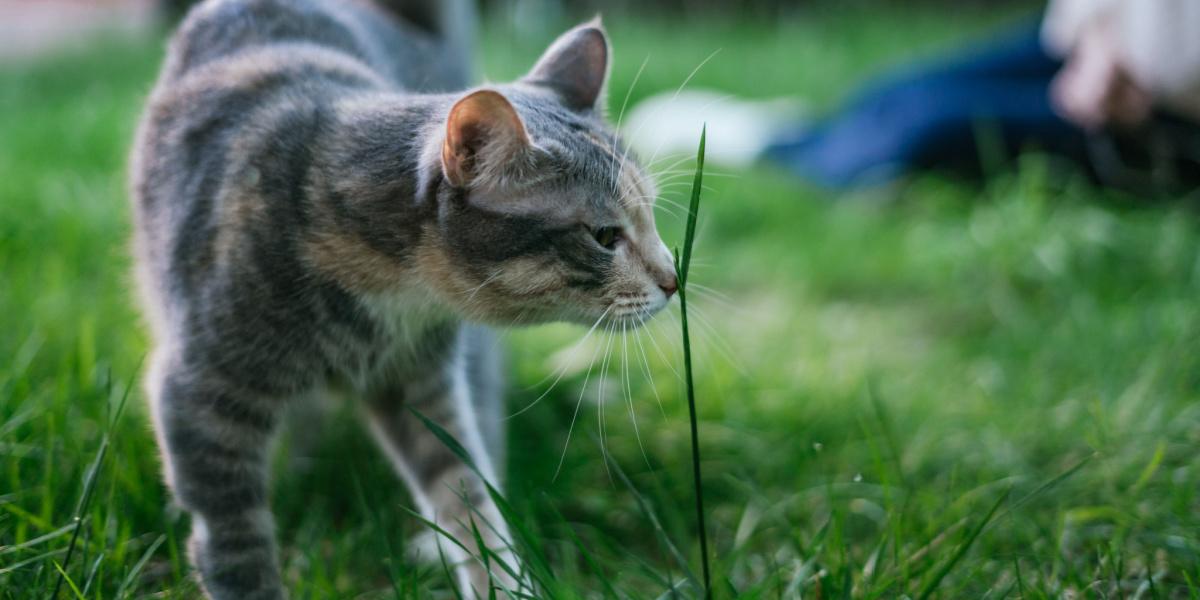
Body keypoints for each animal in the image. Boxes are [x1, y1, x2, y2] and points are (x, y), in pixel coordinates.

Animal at [132, 0, 681, 595]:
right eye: (604, 236)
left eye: (650, 214)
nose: (675, 278)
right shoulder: (201, 394)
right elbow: (236, 546)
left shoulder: (423, 385)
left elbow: (466, 496)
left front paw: (499, 579)